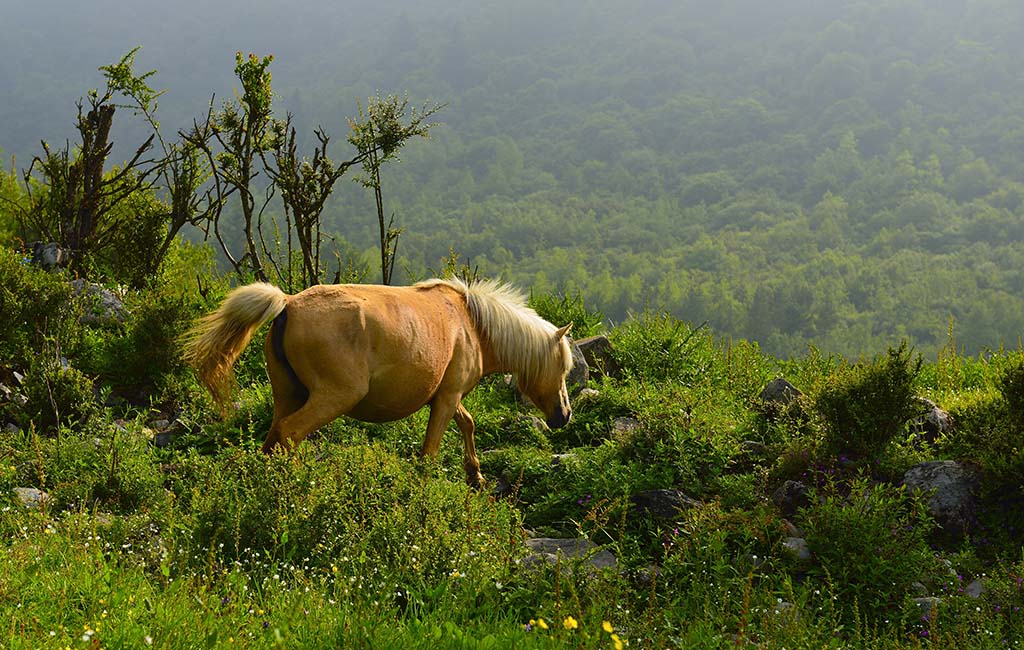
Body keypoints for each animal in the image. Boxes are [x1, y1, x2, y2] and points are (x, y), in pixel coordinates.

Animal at [184, 276, 577, 485]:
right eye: (563, 367)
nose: (565, 415)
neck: (472, 325)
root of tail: (288, 304)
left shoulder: (447, 397)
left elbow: (468, 424)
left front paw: (475, 476)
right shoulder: (447, 397)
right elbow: (431, 451)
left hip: (287, 394)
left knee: (273, 439)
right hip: (332, 397)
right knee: (290, 433)